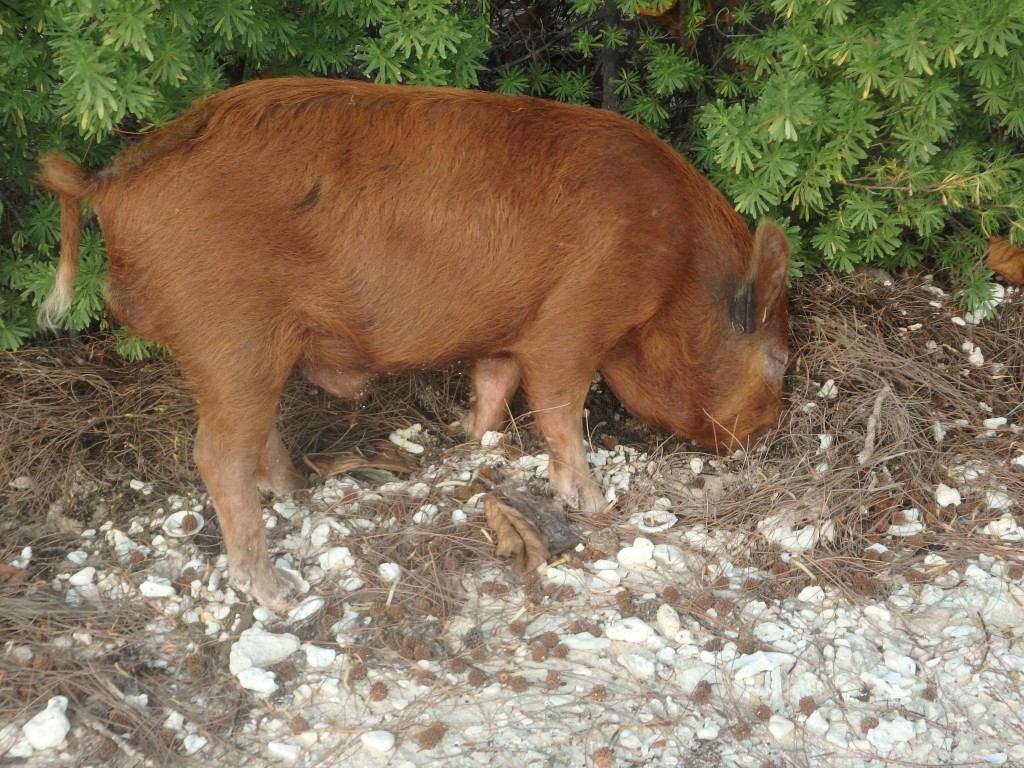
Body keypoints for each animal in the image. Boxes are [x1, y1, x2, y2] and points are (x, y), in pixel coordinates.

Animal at [37, 76, 790, 606]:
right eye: (779, 360)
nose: (767, 435)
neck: (677, 270)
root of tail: (113, 181)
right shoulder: (573, 322)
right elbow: (557, 407)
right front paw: (596, 505)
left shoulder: (508, 331)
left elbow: (492, 384)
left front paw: (470, 439)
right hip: (229, 333)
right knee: (215, 453)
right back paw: (276, 594)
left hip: (248, 350)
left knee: (253, 437)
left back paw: (296, 494)